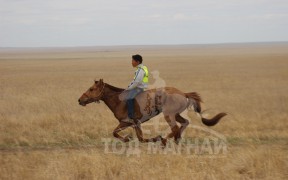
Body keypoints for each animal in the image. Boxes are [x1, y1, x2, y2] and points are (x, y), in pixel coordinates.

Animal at [77, 79, 226, 147]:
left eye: (91, 89)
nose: (80, 100)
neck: (119, 100)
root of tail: (184, 93)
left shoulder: (127, 122)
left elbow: (115, 133)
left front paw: (127, 139)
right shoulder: (135, 124)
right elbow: (140, 139)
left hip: (168, 115)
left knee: (175, 128)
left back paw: (165, 140)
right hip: (175, 114)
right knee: (185, 123)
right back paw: (176, 139)